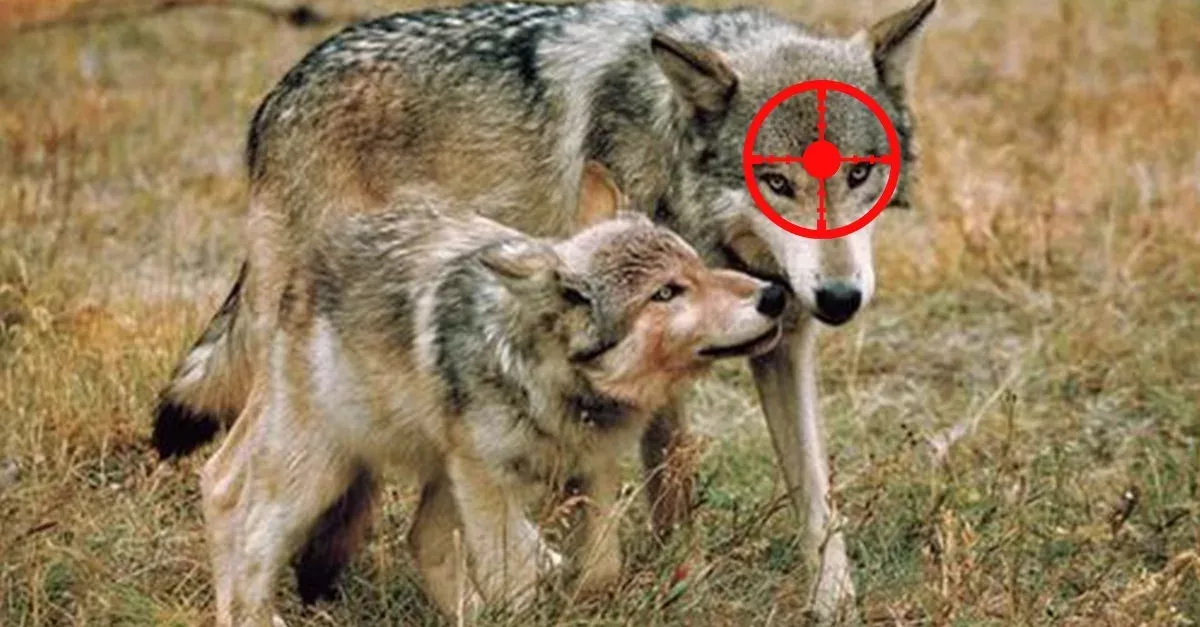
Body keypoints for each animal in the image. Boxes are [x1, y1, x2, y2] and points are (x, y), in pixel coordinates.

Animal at [199, 173, 786, 626]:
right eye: (665, 293)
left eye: (698, 268)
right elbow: (516, 577)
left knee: (420, 538)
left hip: (433, 472)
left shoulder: (594, 468)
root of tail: (317, 249)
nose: (774, 294)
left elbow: (600, 569)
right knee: (244, 519)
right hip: (323, 465)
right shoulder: (488, 480)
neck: (559, 386)